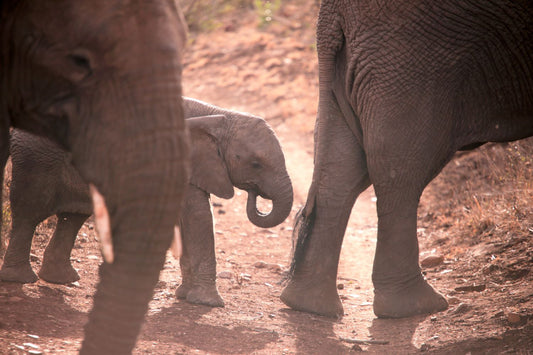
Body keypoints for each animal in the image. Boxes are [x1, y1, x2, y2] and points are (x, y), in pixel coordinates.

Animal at [0, 98, 290, 308]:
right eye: (256, 164)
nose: (254, 193)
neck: (220, 115)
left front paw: (184, 295)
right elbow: (197, 218)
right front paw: (209, 304)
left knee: (72, 217)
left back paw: (62, 278)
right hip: (37, 161)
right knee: (29, 213)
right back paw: (20, 278)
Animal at [280, 0, 528, 322]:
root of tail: (331, 12)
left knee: (343, 167)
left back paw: (309, 305)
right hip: (413, 58)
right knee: (401, 166)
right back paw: (416, 307)